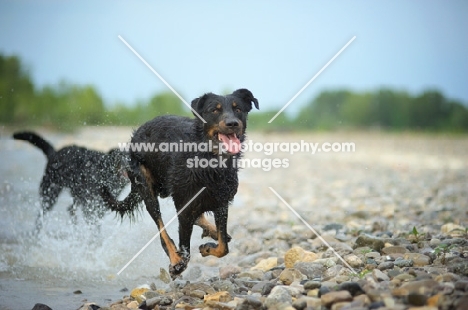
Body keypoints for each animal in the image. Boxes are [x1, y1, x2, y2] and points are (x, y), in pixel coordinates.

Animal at [101, 88, 260, 278]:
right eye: (214, 110)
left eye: (238, 109)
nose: (232, 123)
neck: (209, 161)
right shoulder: (185, 205)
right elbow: (185, 248)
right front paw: (179, 263)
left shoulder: (221, 202)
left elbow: (223, 247)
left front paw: (209, 247)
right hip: (146, 186)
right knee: (161, 225)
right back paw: (175, 258)